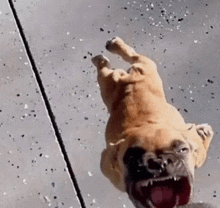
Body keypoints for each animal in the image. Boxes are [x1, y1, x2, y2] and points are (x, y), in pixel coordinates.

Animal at [91, 37, 213, 208]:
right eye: (131, 159)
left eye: (182, 150)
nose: (158, 162)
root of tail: (129, 78)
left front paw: (204, 132)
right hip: (115, 81)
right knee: (122, 61)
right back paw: (106, 53)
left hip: (126, 75)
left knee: (129, 58)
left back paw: (107, 52)